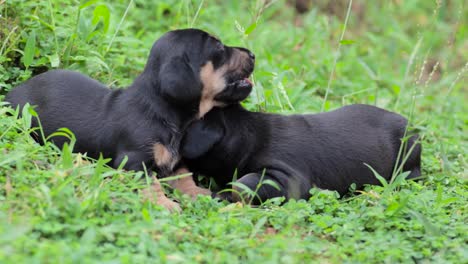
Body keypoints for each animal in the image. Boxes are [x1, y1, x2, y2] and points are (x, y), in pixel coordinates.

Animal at [5, 28, 256, 210]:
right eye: (219, 47)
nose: (253, 54)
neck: (164, 113)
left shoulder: (176, 162)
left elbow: (185, 178)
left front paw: (199, 194)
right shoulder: (134, 161)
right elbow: (151, 184)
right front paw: (165, 204)